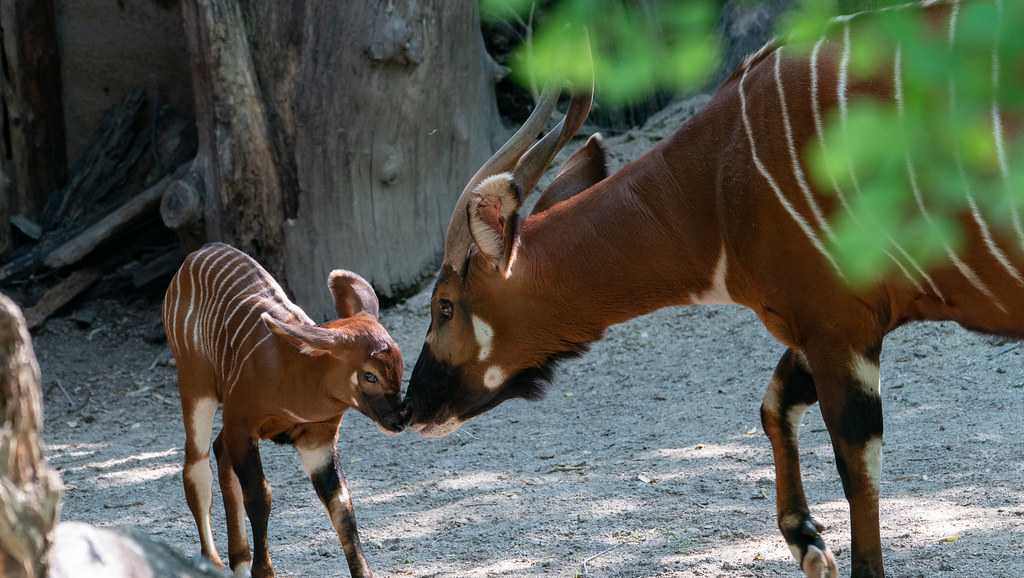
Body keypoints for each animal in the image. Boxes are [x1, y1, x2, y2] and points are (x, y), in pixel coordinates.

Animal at [162, 243, 403, 578]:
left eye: (401, 366)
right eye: (370, 375)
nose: (399, 420)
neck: (297, 374)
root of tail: (197, 254)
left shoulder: (317, 441)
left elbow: (341, 503)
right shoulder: (243, 426)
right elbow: (260, 495)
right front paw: (264, 571)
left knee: (219, 453)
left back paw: (239, 560)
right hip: (196, 386)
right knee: (196, 466)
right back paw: (213, 562)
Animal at [403, 2, 1024, 573]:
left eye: (444, 305)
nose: (411, 408)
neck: (716, 185)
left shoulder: (839, 326)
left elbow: (858, 470)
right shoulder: (821, 326)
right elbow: (774, 405)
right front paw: (807, 543)